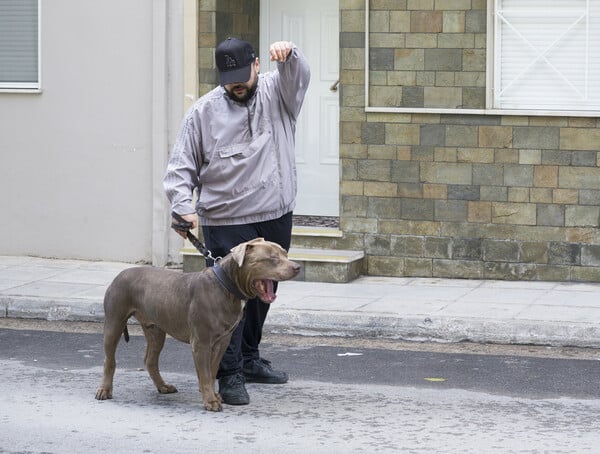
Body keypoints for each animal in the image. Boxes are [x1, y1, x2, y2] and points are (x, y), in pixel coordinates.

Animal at [95, 238, 300, 412]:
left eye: (285, 253)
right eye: (272, 258)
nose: (297, 267)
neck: (226, 286)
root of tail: (120, 274)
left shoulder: (222, 341)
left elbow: (212, 370)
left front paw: (212, 394)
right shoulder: (201, 342)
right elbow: (205, 371)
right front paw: (210, 400)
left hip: (156, 330)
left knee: (150, 360)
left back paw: (163, 386)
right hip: (114, 322)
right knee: (109, 360)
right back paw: (104, 390)